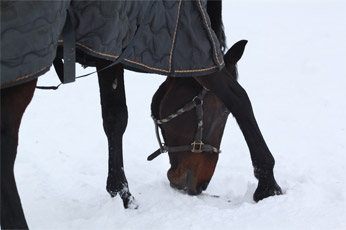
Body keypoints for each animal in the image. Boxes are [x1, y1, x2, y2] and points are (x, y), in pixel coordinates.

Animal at [0, 0, 282, 229]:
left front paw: (121, 194)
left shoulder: (110, 46)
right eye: (222, 112)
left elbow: (114, 119)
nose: (199, 186)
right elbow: (240, 98)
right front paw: (268, 184)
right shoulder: (194, 47)